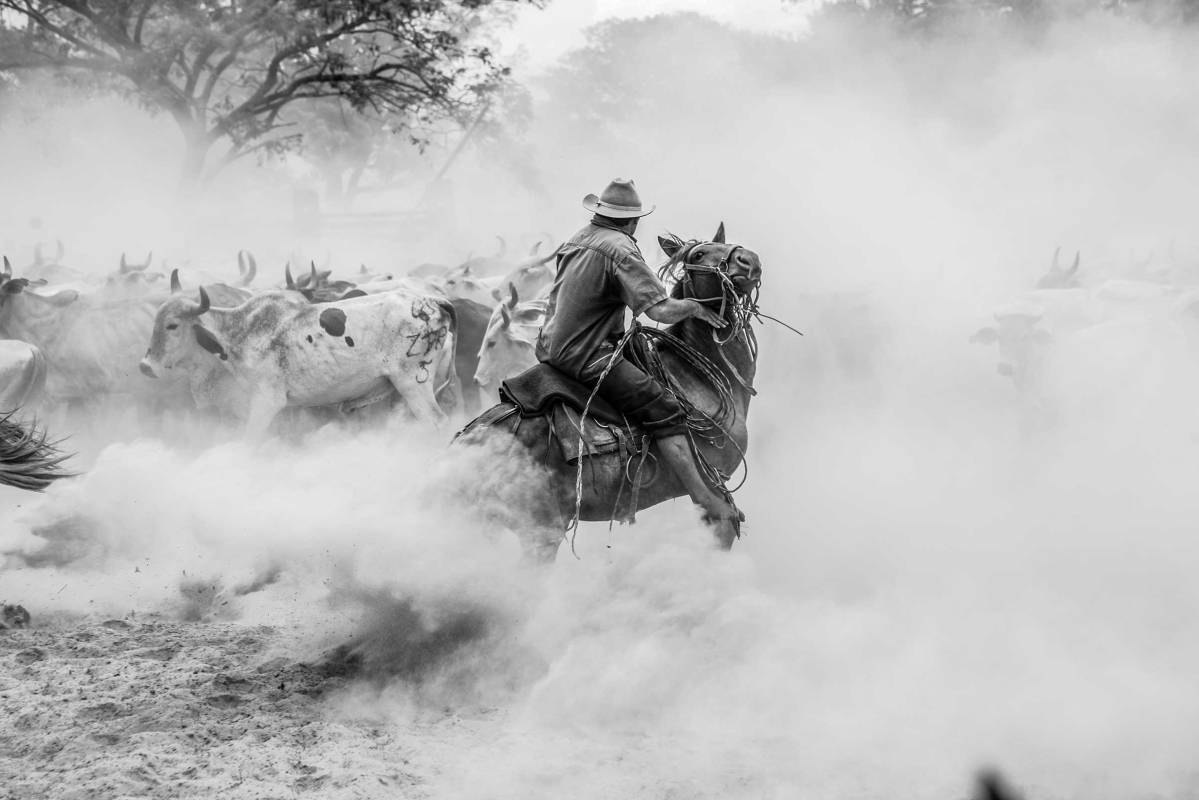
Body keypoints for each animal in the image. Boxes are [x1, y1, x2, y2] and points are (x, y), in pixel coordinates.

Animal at [139, 287, 460, 436]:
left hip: (413, 383)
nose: (145, 366)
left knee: (437, 422)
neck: (240, 331)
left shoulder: (266, 401)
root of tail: (432, 301)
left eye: (172, 325)